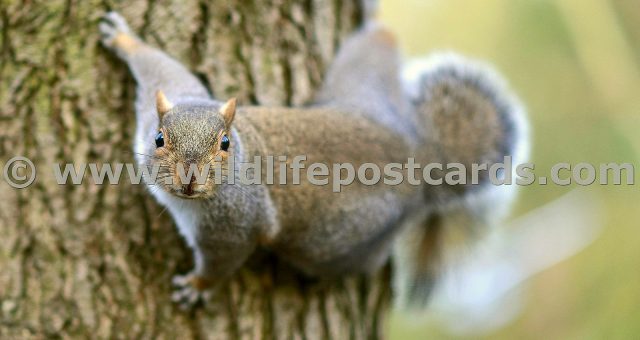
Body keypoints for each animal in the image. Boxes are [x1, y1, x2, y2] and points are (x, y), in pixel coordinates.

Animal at [100, 11, 528, 308]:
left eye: (224, 144)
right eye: (159, 139)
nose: (189, 179)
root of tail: (419, 154)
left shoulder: (235, 225)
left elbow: (222, 262)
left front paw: (197, 287)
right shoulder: (167, 100)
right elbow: (163, 68)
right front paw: (122, 38)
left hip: (335, 245)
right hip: (360, 83)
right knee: (378, 45)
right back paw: (374, 22)